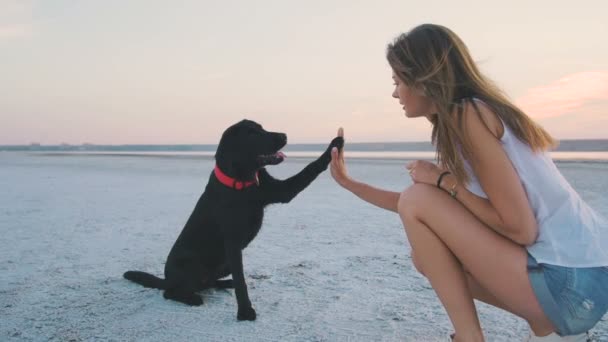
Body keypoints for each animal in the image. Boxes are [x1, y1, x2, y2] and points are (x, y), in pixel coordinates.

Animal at [124, 119, 342, 320]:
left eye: (262, 128)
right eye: (252, 133)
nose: (284, 135)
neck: (242, 181)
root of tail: (166, 279)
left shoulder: (281, 191)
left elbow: (310, 168)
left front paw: (336, 144)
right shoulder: (232, 243)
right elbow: (241, 281)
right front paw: (245, 312)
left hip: (223, 265)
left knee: (209, 282)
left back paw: (223, 284)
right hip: (194, 266)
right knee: (171, 292)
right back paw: (192, 298)